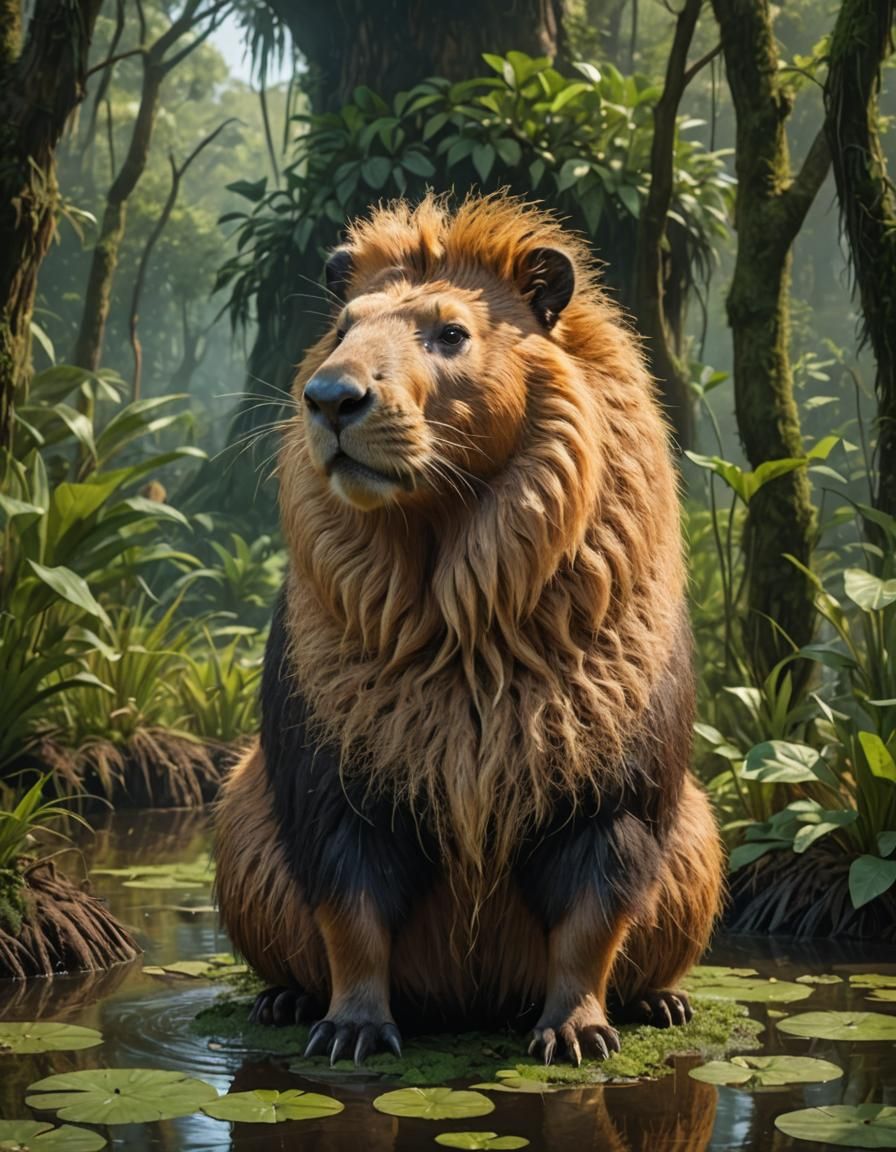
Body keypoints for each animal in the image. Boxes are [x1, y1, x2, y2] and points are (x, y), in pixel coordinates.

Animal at [215, 193, 723, 1067]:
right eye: (342, 327)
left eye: (450, 333)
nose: (331, 398)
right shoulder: (333, 781)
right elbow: (349, 914)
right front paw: (350, 1027)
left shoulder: (613, 791)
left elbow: (592, 920)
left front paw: (577, 1029)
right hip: (238, 808)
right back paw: (283, 1000)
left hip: (699, 825)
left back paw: (663, 1002)